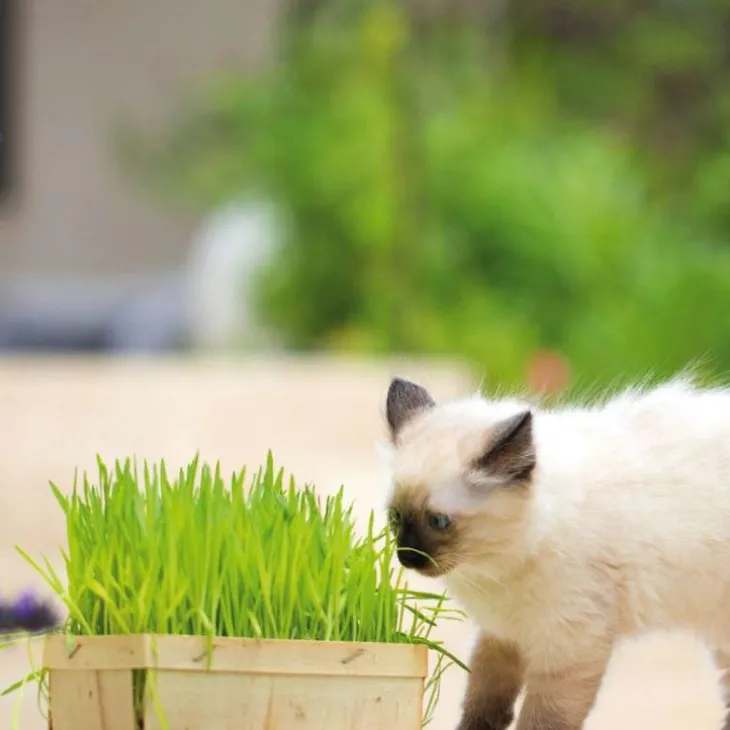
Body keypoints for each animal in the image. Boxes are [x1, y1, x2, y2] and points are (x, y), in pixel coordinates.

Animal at [380, 375, 730, 730]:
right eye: (396, 517)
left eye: (439, 521)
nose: (407, 557)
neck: (495, 564)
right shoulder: (502, 635)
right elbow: (481, 704)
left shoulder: (568, 646)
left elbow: (541, 719)